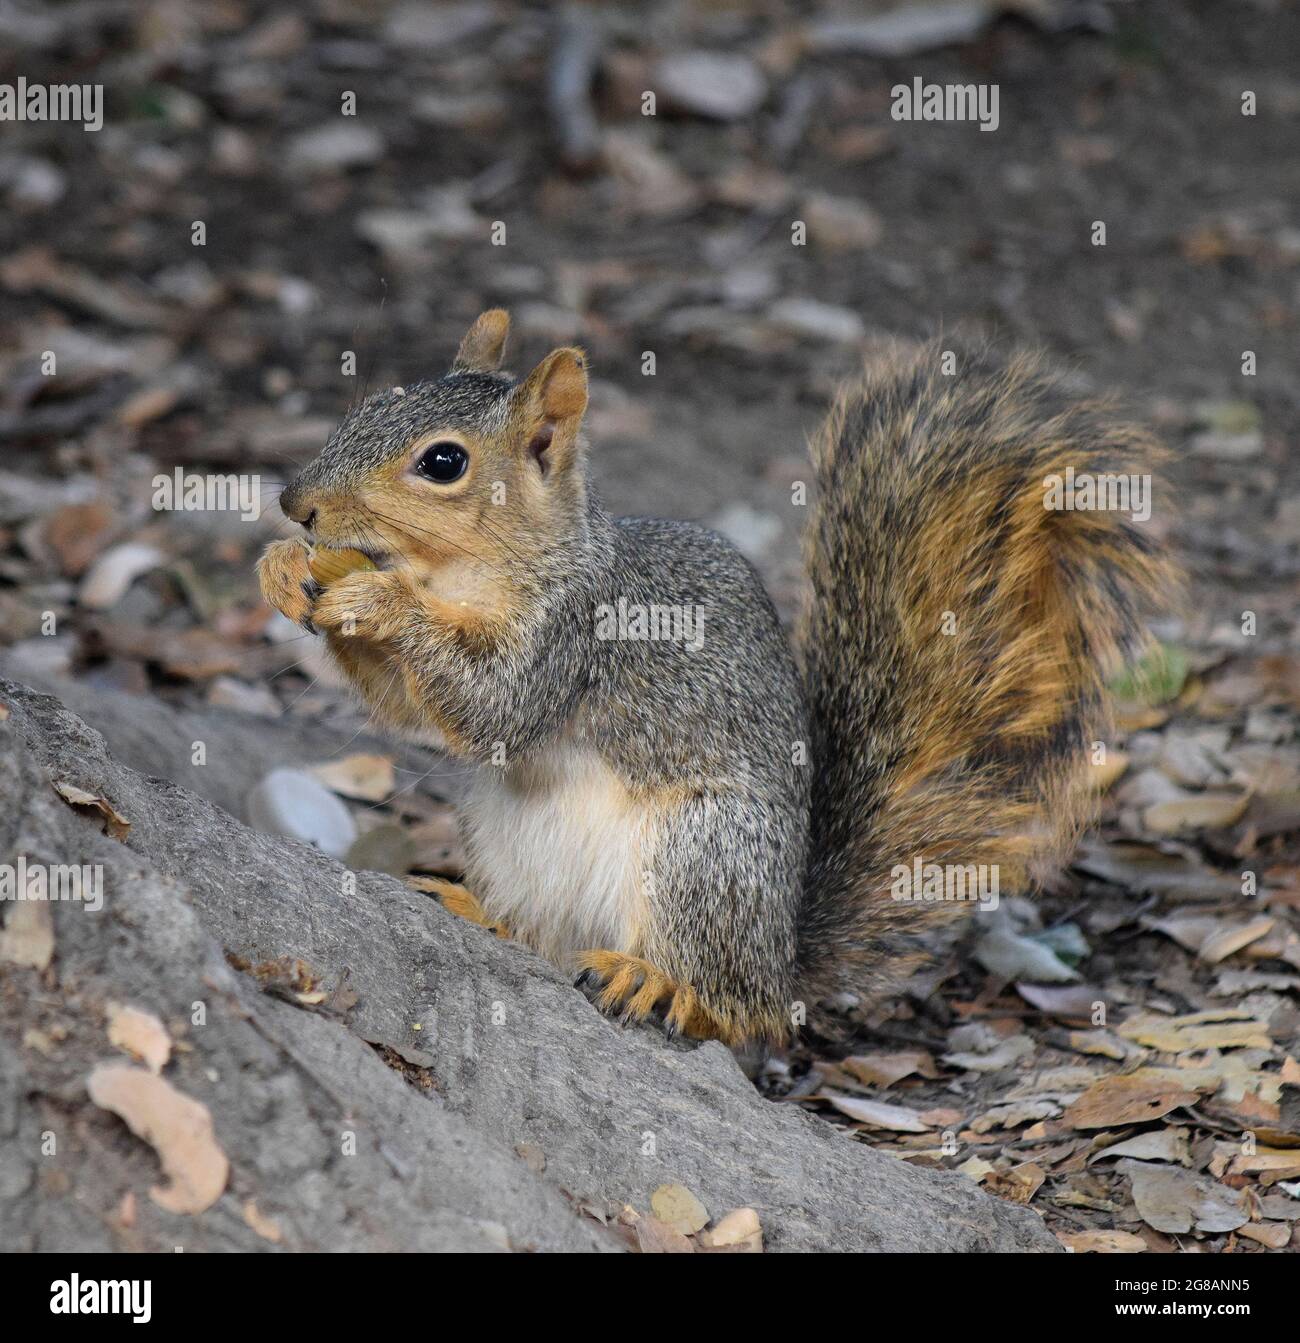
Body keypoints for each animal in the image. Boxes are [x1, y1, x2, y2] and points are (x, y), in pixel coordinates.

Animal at [259, 311, 1171, 1047]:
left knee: (734, 1011)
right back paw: (480, 914)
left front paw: (379, 597)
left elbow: (493, 706)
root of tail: (780, 960)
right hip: (505, 841)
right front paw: (283, 570)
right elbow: (406, 704)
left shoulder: (579, 633)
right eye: (366, 406)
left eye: (443, 462)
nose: (294, 503)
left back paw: (660, 982)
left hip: (706, 852)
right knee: (545, 944)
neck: (468, 572)